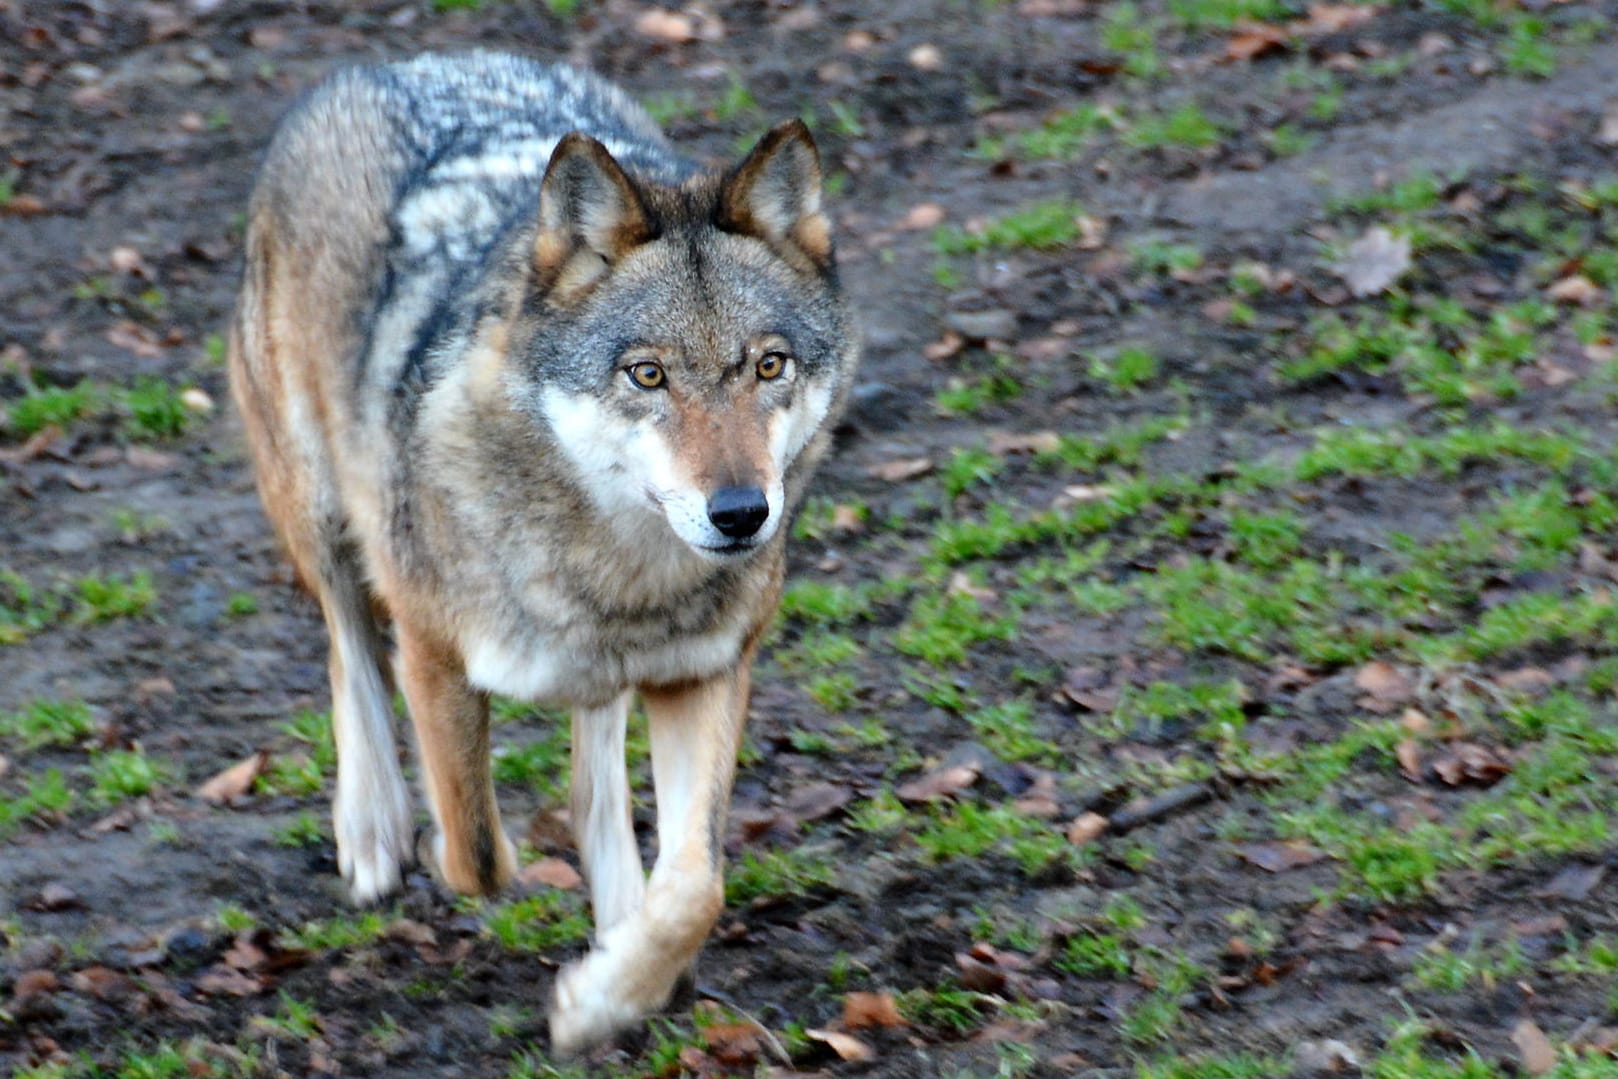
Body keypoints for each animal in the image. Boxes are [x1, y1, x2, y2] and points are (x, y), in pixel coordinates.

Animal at [231, 52, 860, 1054]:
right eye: (648, 374)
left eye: (768, 366)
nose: (740, 514)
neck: (617, 573)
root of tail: (395, 63)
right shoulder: (435, 658)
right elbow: (477, 849)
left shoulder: (704, 674)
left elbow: (697, 884)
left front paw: (609, 990)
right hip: (320, 509)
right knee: (346, 646)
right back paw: (372, 828)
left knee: (596, 778)